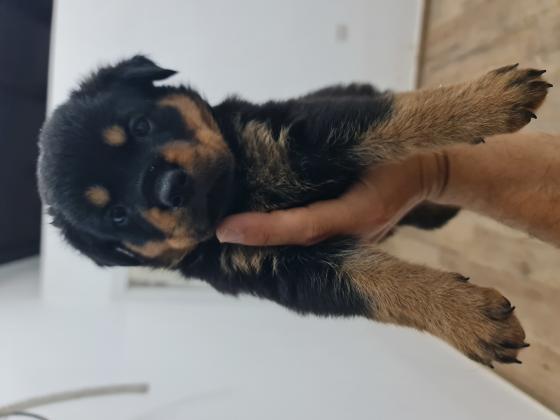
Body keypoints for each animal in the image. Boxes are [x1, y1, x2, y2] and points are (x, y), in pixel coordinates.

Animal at [37, 55, 551, 367]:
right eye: (118, 216)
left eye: (140, 125)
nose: (169, 187)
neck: (241, 189)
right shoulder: (284, 271)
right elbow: (373, 285)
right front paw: (466, 318)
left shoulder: (301, 132)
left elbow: (389, 118)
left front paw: (488, 100)